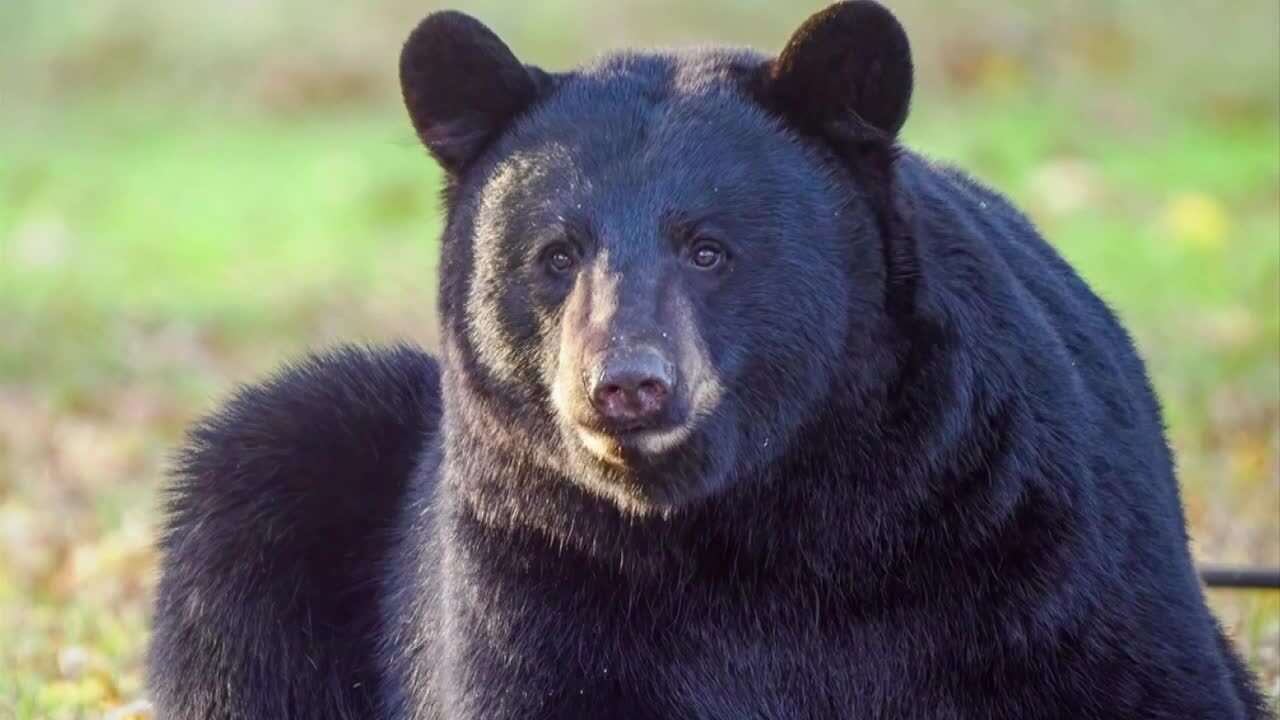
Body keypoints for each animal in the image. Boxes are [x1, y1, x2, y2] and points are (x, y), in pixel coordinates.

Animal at [146, 2, 1271, 719]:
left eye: (708, 247)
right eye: (555, 253)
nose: (627, 386)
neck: (755, 522)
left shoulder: (1028, 542)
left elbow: (1149, 679)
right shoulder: (536, 568)